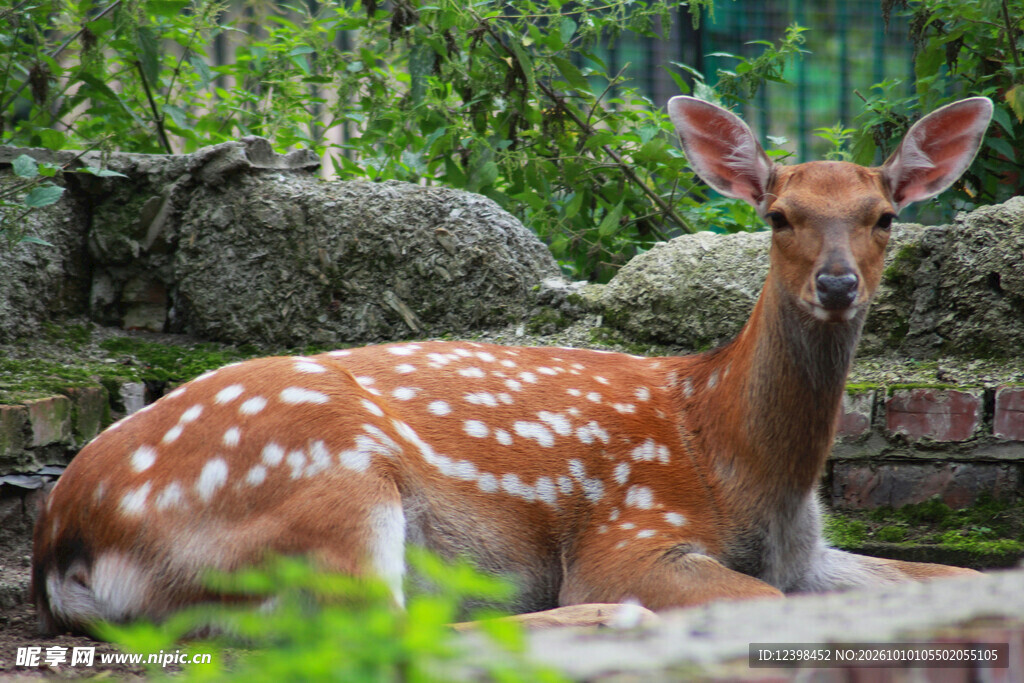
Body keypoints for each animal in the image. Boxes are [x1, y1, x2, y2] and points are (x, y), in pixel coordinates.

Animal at [32, 95, 993, 635]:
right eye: (779, 215)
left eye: (884, 216)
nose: (836, 284)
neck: (735, 455)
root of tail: (63, 538)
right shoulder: (630, 528)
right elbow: (763, 601)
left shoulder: (810, 549)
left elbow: (962, 577)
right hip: (325, 482)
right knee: (392, 632)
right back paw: (593, 616)